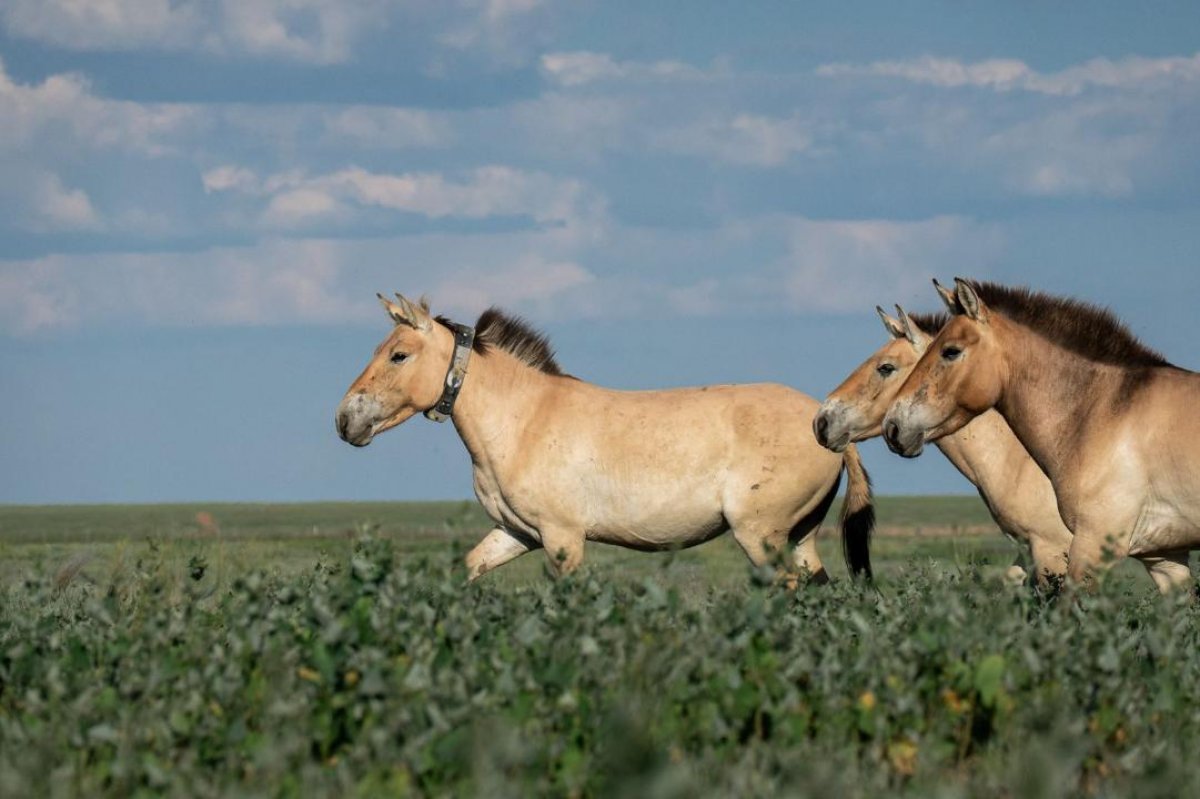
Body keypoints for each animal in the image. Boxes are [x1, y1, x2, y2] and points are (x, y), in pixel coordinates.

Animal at [335, 293, 875, 583]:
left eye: (398, 355)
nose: (344, 420)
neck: (523, 420)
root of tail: (825, 425)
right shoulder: (516, 533)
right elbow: (468, 569)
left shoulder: (563, 540)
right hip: (798, 536)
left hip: (761, 537)